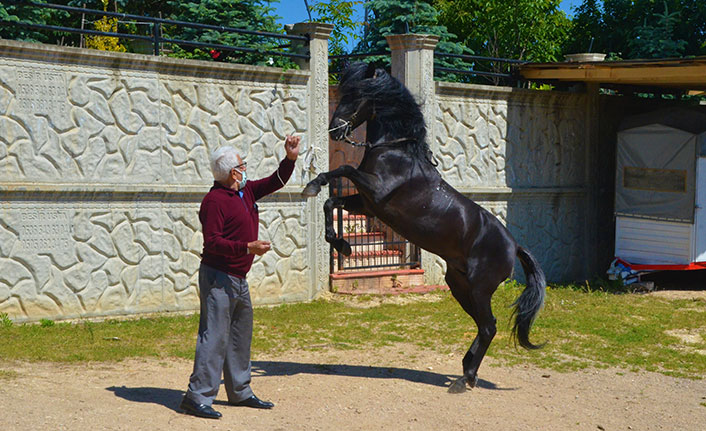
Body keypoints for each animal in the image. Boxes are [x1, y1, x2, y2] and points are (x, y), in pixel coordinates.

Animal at [302, 61, 544, 394]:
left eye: (357, 96)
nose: (335, 130)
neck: (396, 153)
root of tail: (514, 245)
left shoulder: (375, 193)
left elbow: (342, 169)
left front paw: (313, 185)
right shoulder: (367, 203)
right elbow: (331, 202)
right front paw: (343, 245)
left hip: (480, 288)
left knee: (489, 326)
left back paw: (466, 378)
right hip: (459, 285)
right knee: (484, 326)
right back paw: (467, 371)